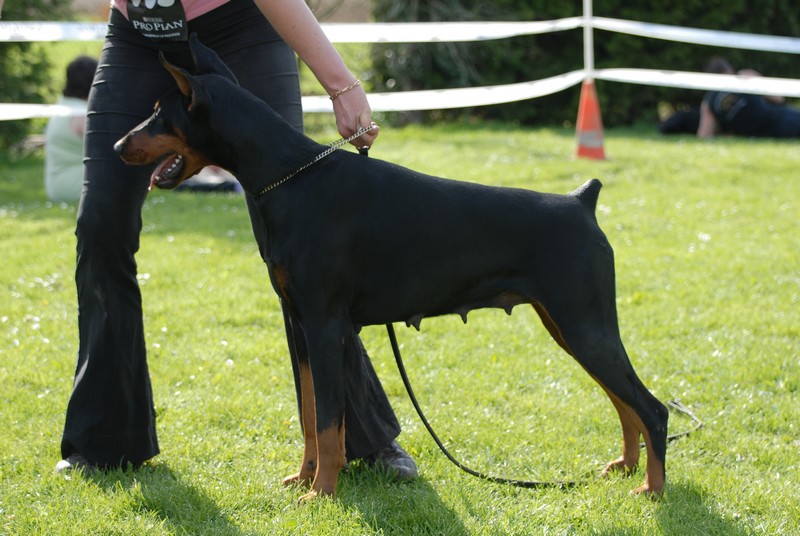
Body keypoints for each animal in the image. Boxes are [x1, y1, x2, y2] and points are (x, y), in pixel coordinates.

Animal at [114, 35, 668, 500]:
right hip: (567, 325)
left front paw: (322, 493)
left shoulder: (326, 326)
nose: (118, 146)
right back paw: (624, 466)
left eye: (159, 114)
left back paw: (652, 489)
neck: (287, 178)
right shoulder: (301, 325)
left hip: (584, 323)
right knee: (624, 403)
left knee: (651, 408)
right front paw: (304, 478)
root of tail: (581, 201)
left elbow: (330, 424)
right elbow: (311, 416)